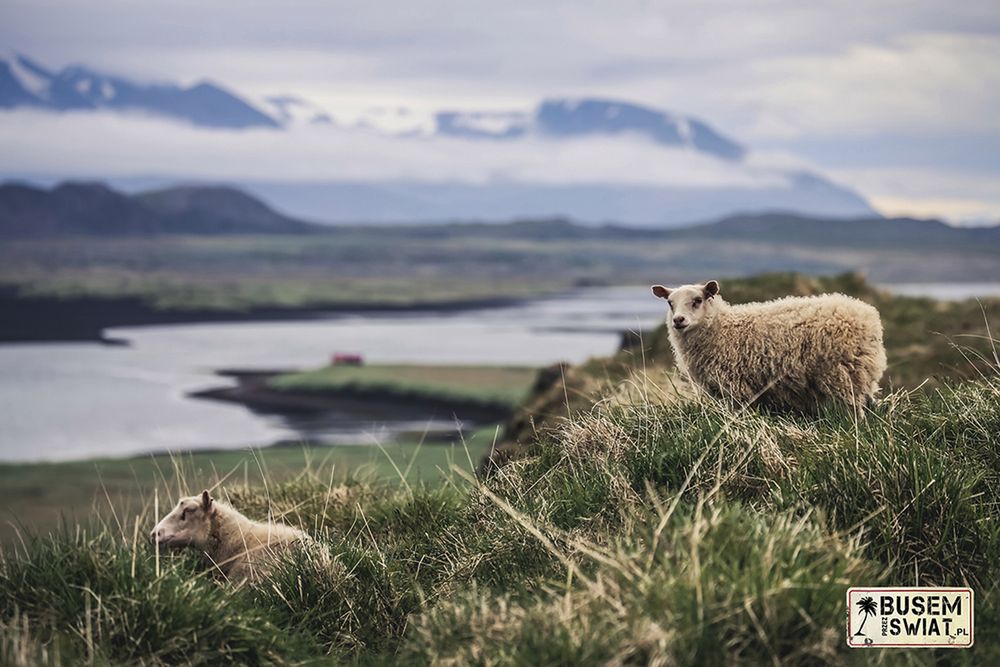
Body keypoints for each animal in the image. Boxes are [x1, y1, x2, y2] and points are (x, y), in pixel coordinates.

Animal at [652, 280, 888, 414]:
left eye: (697, 300)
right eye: (670, 303)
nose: (678, 320)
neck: (722, 327)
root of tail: (868, 317)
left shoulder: (736, 388)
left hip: (843, 375)